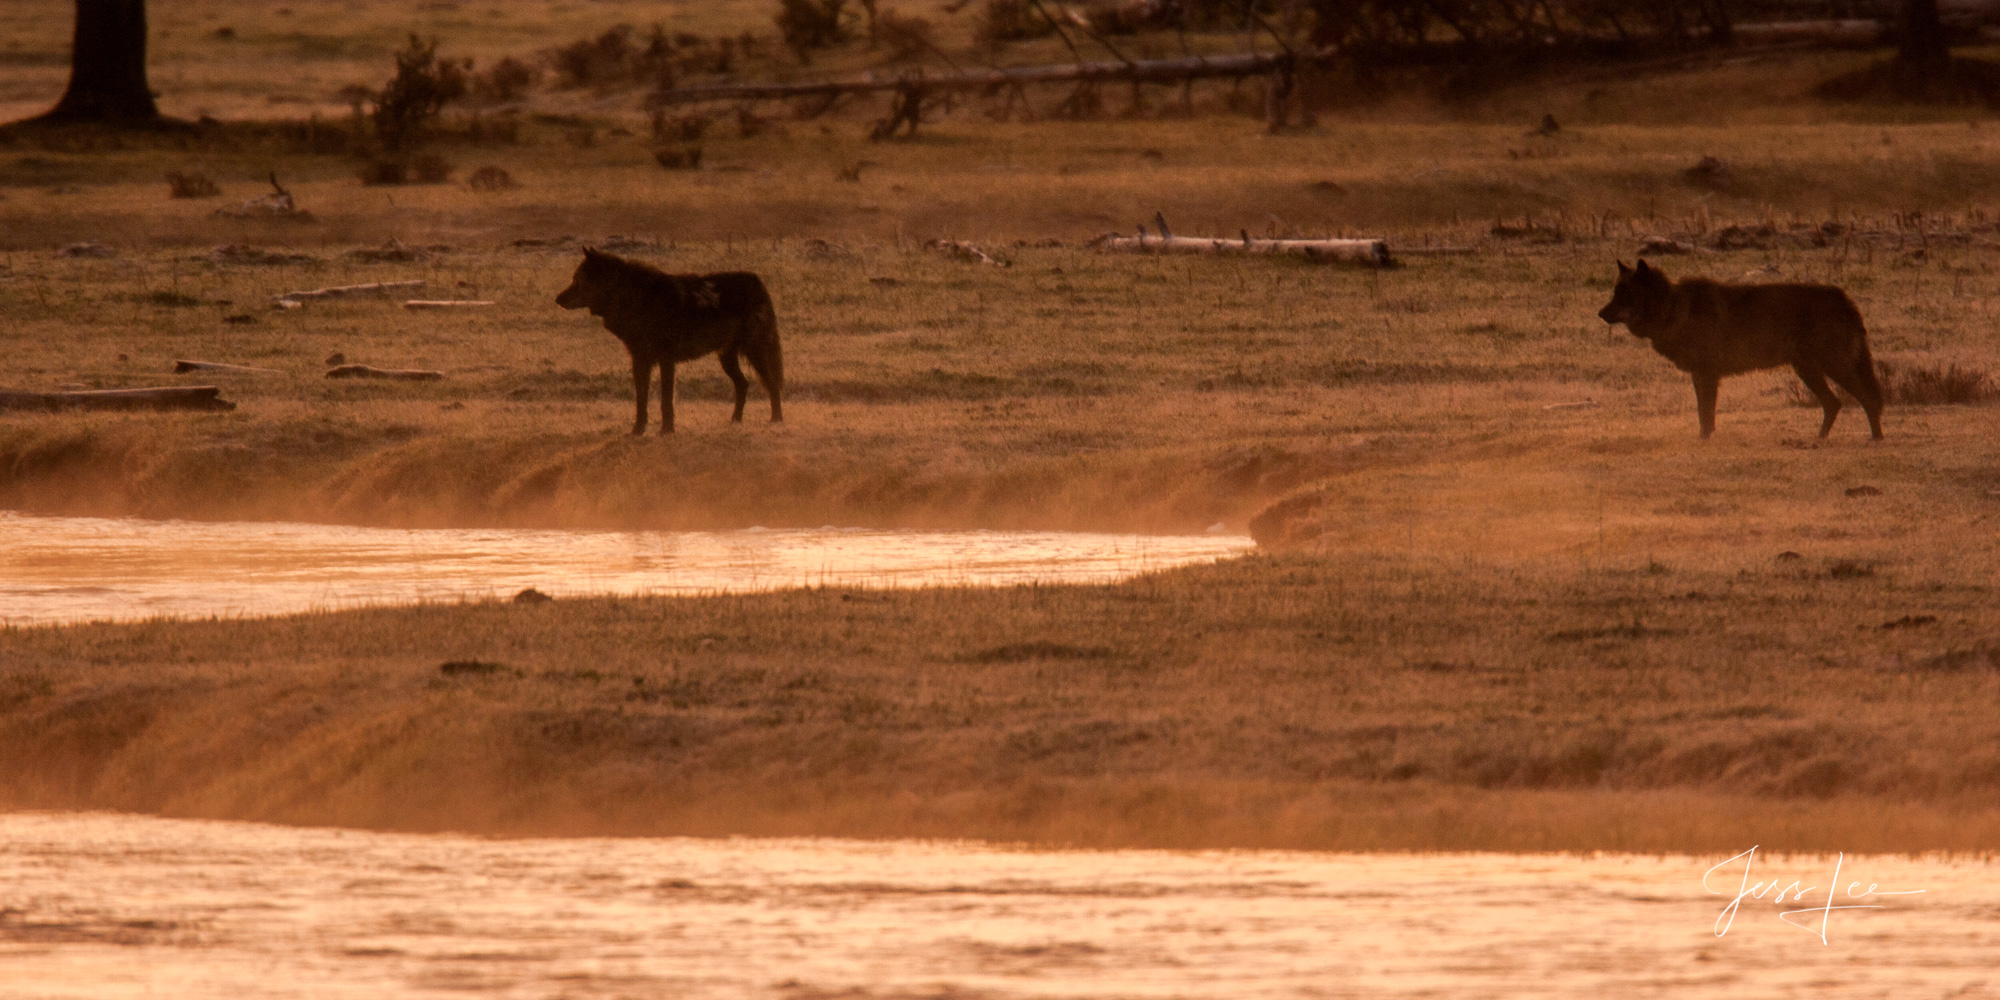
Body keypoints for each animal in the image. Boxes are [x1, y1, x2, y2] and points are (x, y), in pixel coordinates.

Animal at [564, 247, 788, 434]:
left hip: (754, 353)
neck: (637, 300)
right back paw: (735, 421)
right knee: (744, 384)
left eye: (578, 280)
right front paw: (638, 431)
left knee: (773, 385)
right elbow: (641, 400)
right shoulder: (640, 362)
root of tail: (757, 280)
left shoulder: (666, 361)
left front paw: (666, 431)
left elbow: (666, 400)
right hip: (727, 359)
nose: (559, 299)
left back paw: (776, 421)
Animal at [1592, 260, 1888, 440]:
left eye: (1625, 295)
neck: (1675, 309)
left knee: (1867, 399)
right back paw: (1818, 440)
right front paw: (1704, 438)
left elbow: (1706, 412)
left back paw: (1875, 438)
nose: (1600, 314)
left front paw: (1705, 439)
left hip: (1832, 367)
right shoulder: (1699, 375)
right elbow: (1702, 412)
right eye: (1615, 293)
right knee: (1834, 403)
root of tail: (1846, 299)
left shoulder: (1708, 374)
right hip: (1808, 370)